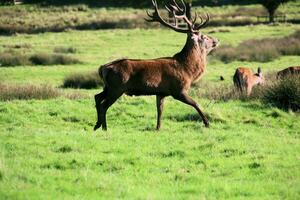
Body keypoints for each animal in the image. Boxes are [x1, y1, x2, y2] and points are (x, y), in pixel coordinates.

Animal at [92, 0, 219, 131]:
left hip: (108, 86)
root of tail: (102, 68)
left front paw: (158, 128)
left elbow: (160, 110)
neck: (187, 69)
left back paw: (97, 125)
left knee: (97, 97)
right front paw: (207, 123)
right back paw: (103, 127)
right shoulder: (178, 90)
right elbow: (196, 103)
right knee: (104, 105)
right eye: (204, 37)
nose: (216, 40)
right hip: (117, 87)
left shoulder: (161, 93)